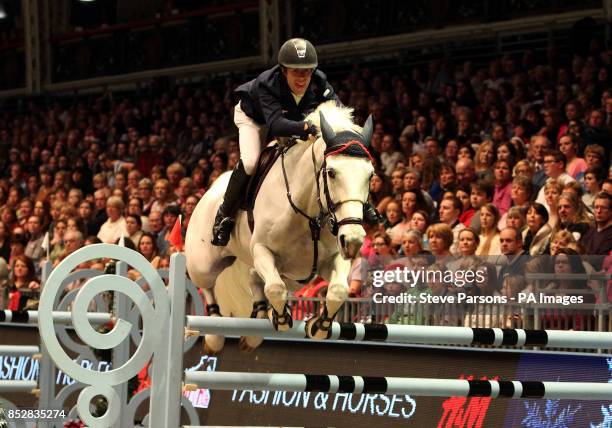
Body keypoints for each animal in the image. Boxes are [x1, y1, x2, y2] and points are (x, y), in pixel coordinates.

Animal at [184, 102, 372, 352]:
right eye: (331, 173)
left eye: (370, 175)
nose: (353, 240)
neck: (308, 212)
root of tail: (209, 190)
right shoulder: (263, 250)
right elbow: (275, 288)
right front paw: (281, 319)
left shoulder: (330, 259)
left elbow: (338, 290)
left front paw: (320, 326)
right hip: (203, 264)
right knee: (208, 287)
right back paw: (215, 335)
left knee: (253, 277)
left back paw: (255, 326)